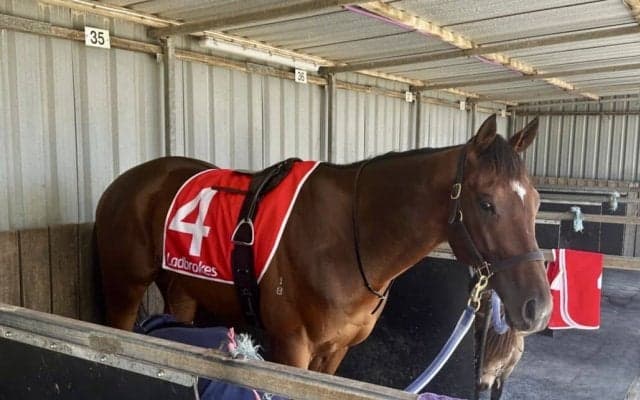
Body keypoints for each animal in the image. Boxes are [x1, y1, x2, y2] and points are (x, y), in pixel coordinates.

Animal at [95, 114, 552, 374]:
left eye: (535, 201)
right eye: (487, 203)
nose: (538, 308)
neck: (347, 240)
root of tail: (125, 183)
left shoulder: (335, 352)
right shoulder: (291, 347)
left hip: (182, 289)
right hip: (123, 289)